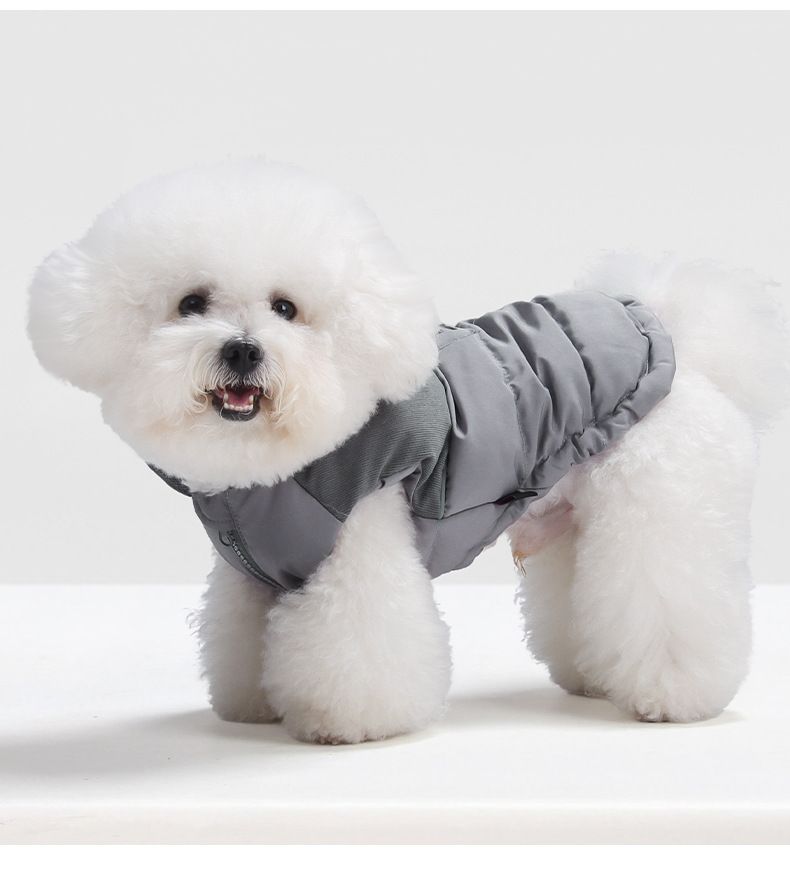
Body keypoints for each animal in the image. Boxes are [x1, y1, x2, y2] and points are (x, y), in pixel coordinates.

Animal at [28, 160, 790, 743]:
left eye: (286, 309)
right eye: (191, 303)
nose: (243, 351)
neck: (269, 473)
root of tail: (676, 340)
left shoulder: (361, 540)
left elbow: (360, 644)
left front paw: (346, 723)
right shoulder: (251, 573)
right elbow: (239, 636)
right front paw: (254, 707)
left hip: (661, 506)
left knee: (668, 595)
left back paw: (673, 697)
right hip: (574, 518)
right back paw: (594, 678)